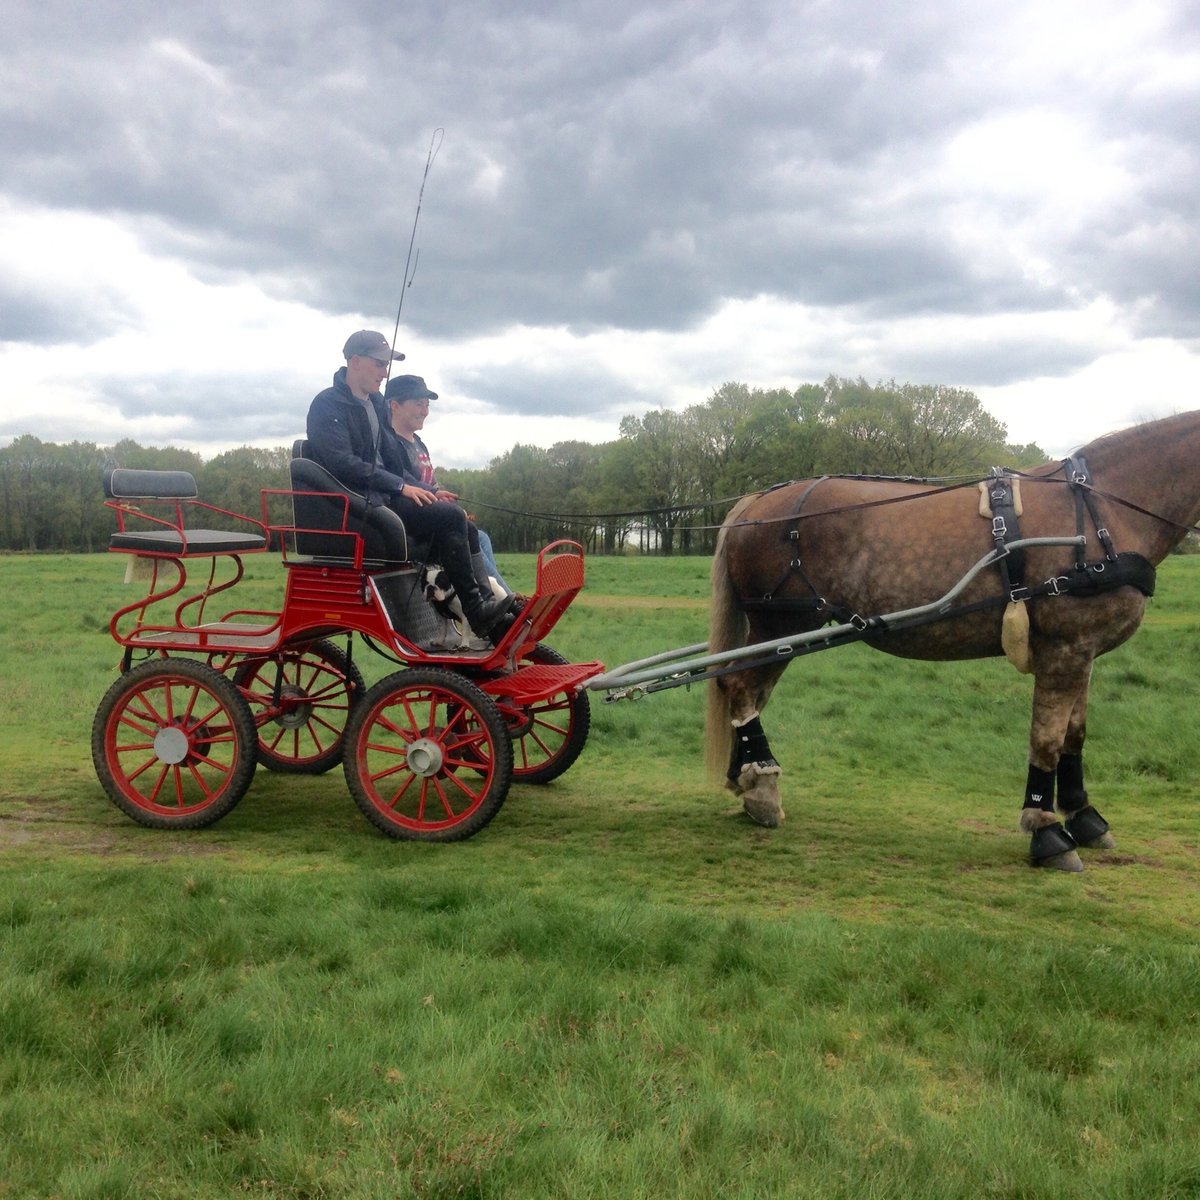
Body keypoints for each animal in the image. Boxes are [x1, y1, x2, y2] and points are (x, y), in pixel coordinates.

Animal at [700, 408, 1200, 868]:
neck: (1100, 509)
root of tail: (753, 502)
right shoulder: (1065, 648)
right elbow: (1047, 739)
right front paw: (1046, 829)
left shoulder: (1084, 650)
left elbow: (1074, 736)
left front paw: (1083, 815)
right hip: (782, 625)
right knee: (740, 687)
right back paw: (762, 789)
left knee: (748, 694)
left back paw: (748, 777)